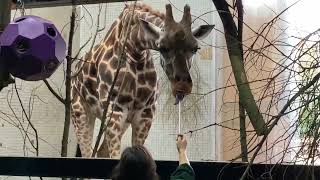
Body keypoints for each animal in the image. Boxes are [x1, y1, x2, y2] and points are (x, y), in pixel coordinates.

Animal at [71, 2, 214, 158]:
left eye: (195, 48)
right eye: (162, 47)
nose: (182, 87)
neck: (135, 51)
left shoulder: (145, 114)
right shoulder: (115, 111)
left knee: (101, 151)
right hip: (81, 114)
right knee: (87, 151)